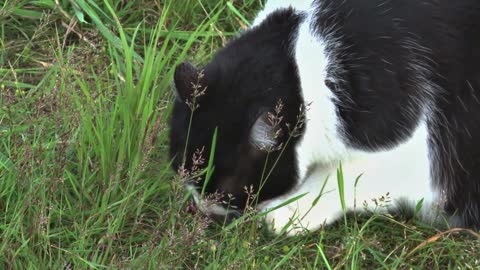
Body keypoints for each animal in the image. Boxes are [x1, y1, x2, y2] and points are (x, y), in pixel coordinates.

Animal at [168, 0, 480, 235]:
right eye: (183, 171)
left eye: (226, 192)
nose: (202, 210)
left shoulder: (418, 154)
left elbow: (343, 175)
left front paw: (287, 211)